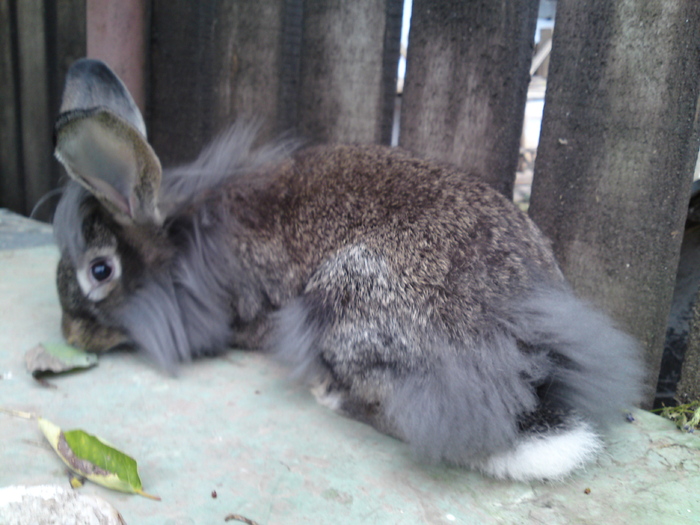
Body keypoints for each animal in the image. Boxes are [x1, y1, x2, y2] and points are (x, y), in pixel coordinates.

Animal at [53, 59, 644, 482]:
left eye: (99, 271)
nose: (71, 334)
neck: (181, 245)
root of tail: (518, 361)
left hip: (343, 303)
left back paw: (329, 394)